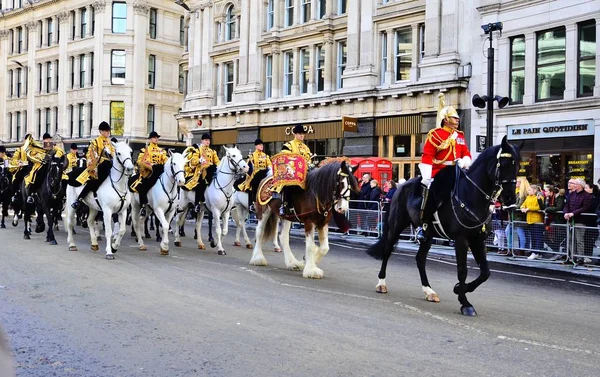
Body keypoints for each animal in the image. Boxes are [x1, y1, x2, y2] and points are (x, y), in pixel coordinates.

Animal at [366, 137, 520, 316]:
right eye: (504, 163)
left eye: (518, 165)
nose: (510, 198)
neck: (472, 196)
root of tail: (399, 188)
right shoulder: (461, 239)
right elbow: (462, 270)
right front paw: (465, 302)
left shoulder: (477, 239)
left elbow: (485, 272)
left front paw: (459, 289)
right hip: (396, 225)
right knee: (387, 251)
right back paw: (381, 284)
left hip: (428, 235)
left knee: (420, 259)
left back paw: (429, 291)